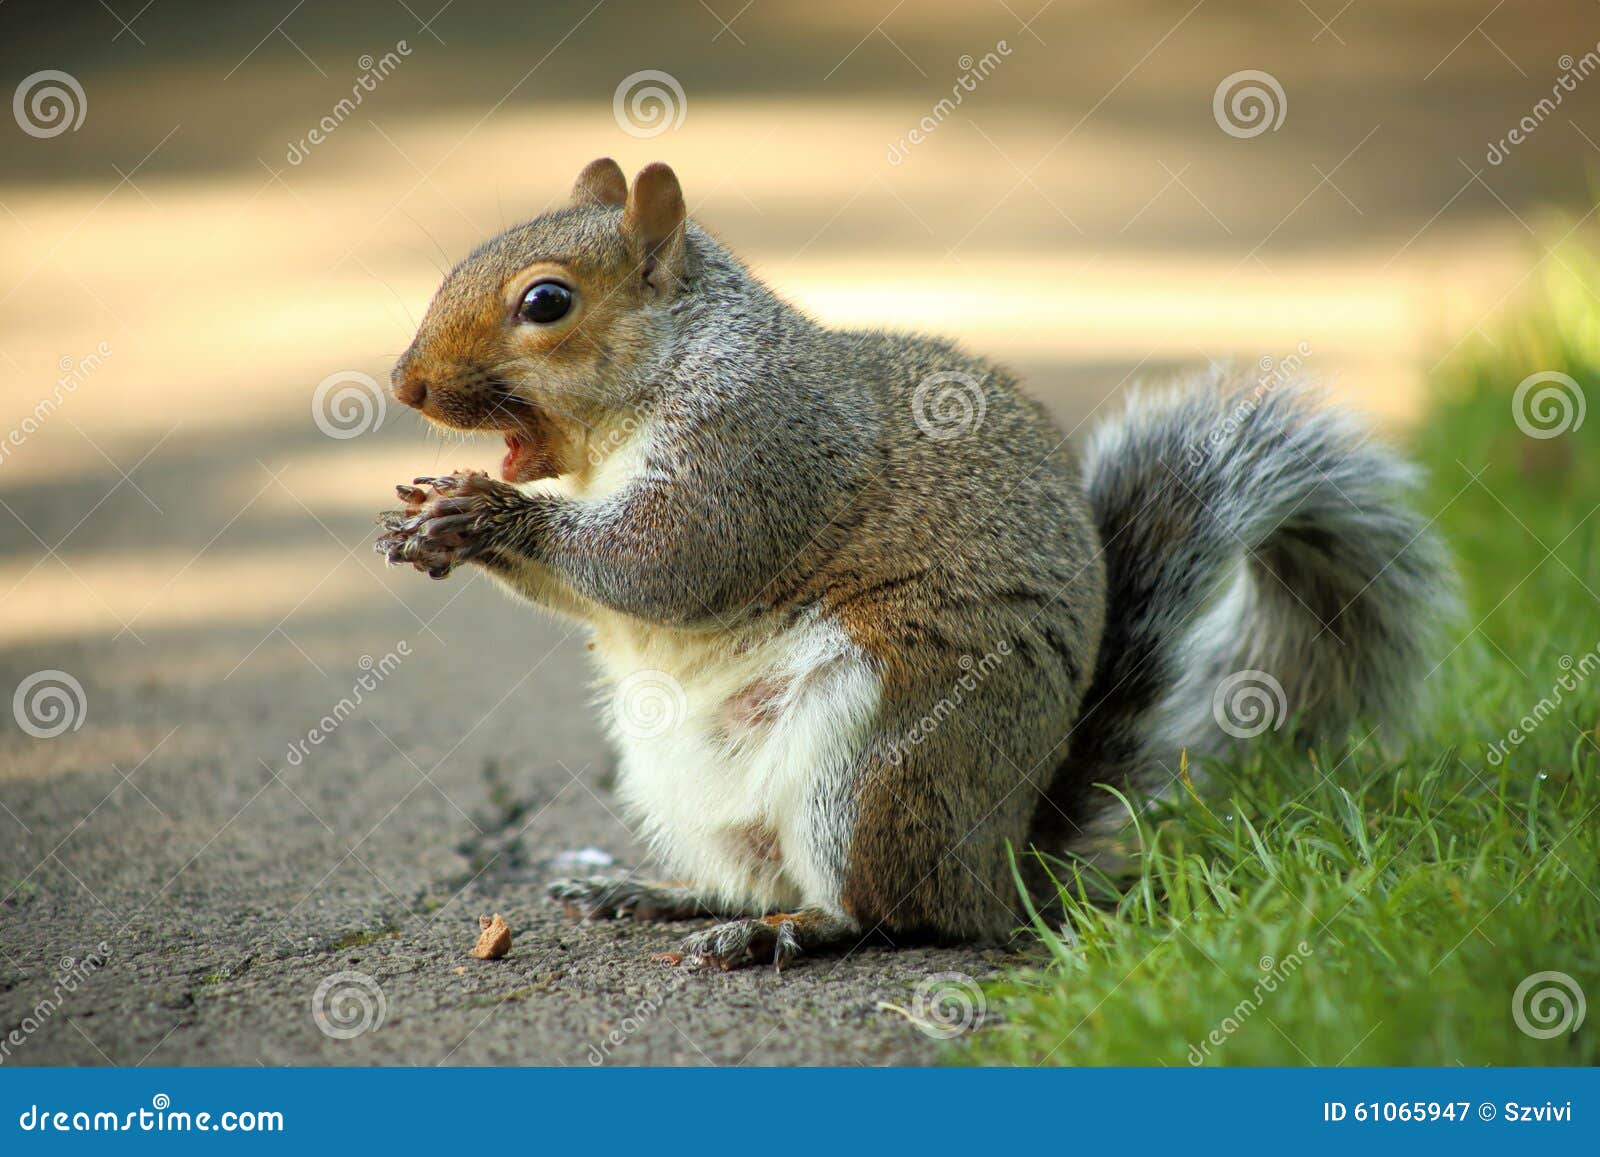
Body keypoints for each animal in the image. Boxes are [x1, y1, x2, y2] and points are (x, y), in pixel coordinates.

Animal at [378, 158, 1455, 970]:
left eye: (546, 301)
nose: (405, 382)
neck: (657, 385)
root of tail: (1003, 864)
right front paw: (427, 524)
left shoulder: (759, 450)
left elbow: (666, 561)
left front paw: (484, 513)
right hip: (683, 781)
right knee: (753, 870)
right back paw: (659, 893)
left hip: (872, 758)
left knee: (885, 911)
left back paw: (783, 932)